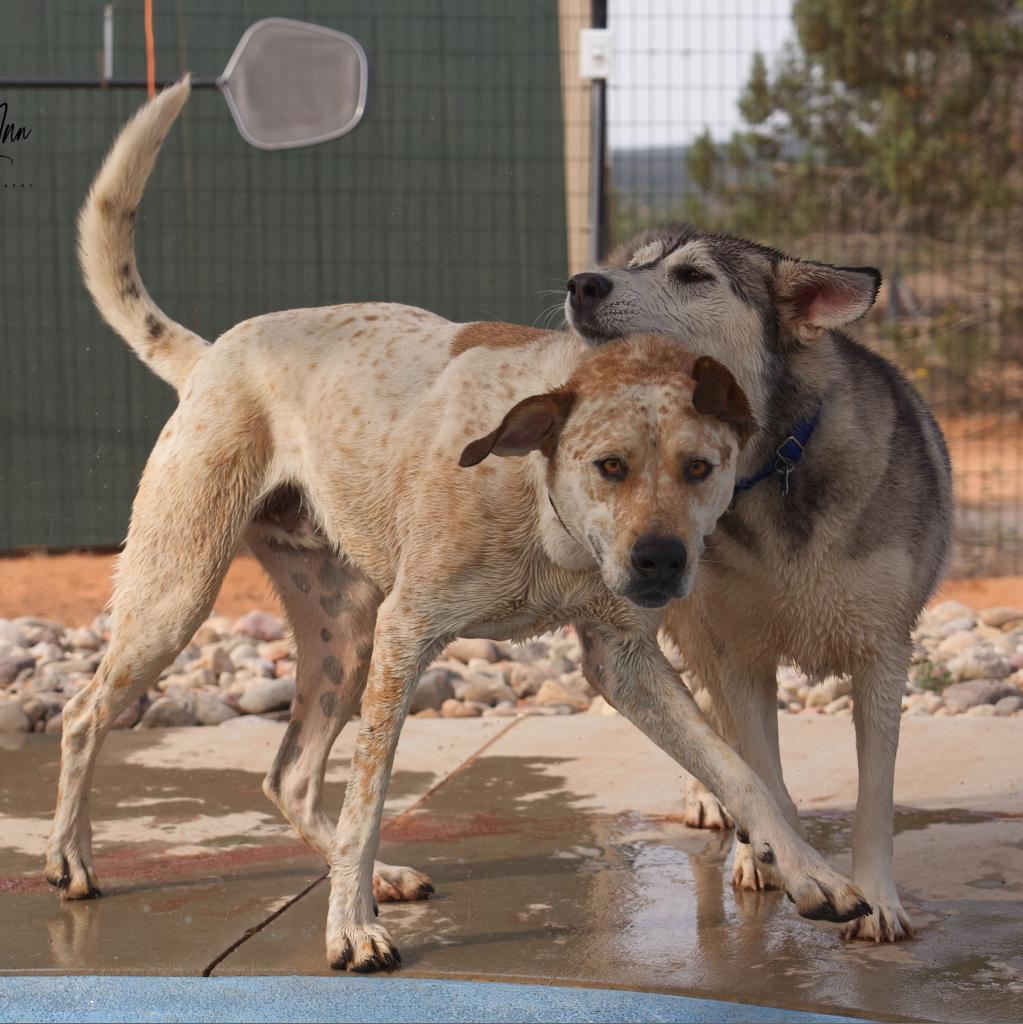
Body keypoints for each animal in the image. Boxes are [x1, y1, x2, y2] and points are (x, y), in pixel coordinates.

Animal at [569, 224, 950, 942]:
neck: (774, 466)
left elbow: (875, 793)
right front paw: (782, 863)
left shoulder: (883, 655)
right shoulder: (740, 655)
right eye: (635, 265)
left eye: (693, 276)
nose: (582, 283)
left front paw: (876, 899)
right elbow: (756, 769)